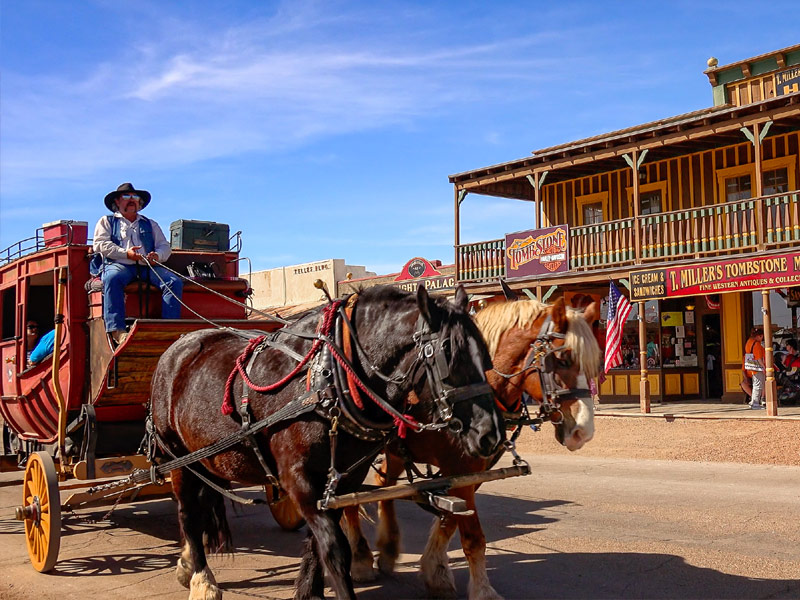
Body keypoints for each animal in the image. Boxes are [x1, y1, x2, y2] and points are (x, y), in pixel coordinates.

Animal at [150, 284, 504, 600]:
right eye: (449, 355)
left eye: (485, 356)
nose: (491, 434)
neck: (329, 379)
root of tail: (178, 346)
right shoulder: (298, 479)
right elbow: (334, 549)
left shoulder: (344, 479)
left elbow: (316, 544)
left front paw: (310, 591)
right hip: (177, 457)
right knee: (188, 513)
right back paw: (201, 579)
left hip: (205, 460)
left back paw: (186, 564)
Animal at [342, 296, 600, 600]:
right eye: (562, 359)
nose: (583, 431)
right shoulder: (461, 469)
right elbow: (473, 537)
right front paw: (483, 590)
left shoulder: (470, 472)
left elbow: (450, 518)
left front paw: (435, 571)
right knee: (351, 498)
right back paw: (360, 559)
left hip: (394, 449)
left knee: (384, 484)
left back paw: (388, 548)